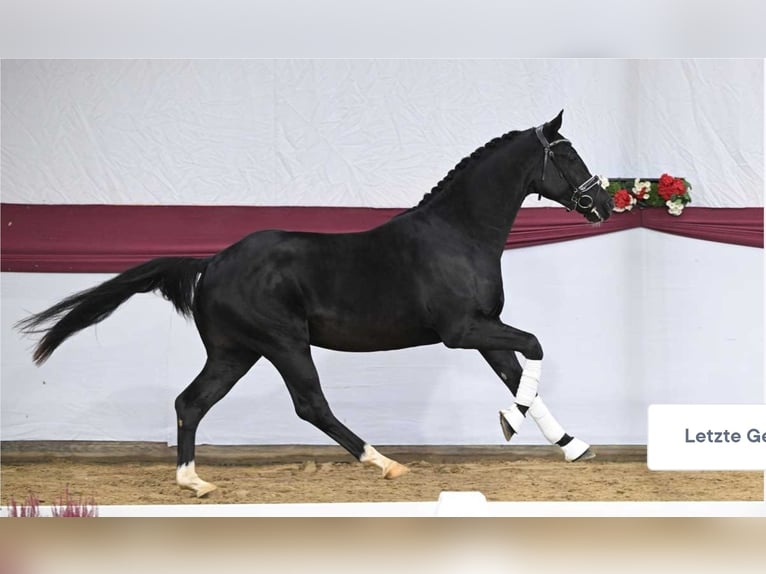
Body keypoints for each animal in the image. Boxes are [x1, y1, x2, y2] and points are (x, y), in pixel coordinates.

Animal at [17, 110, 613, 497]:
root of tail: (213, 261)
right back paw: (385, 464)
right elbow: (534, 348)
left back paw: (194, 481)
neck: (458, 235)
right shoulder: (463, 329)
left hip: (235, 351)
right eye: (566, 154)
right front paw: (511, 423)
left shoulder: (484, 327)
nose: (603, 204)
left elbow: (519, 373)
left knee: (192, 402)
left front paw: (571, 445)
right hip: (283, 343)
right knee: (310, 404)